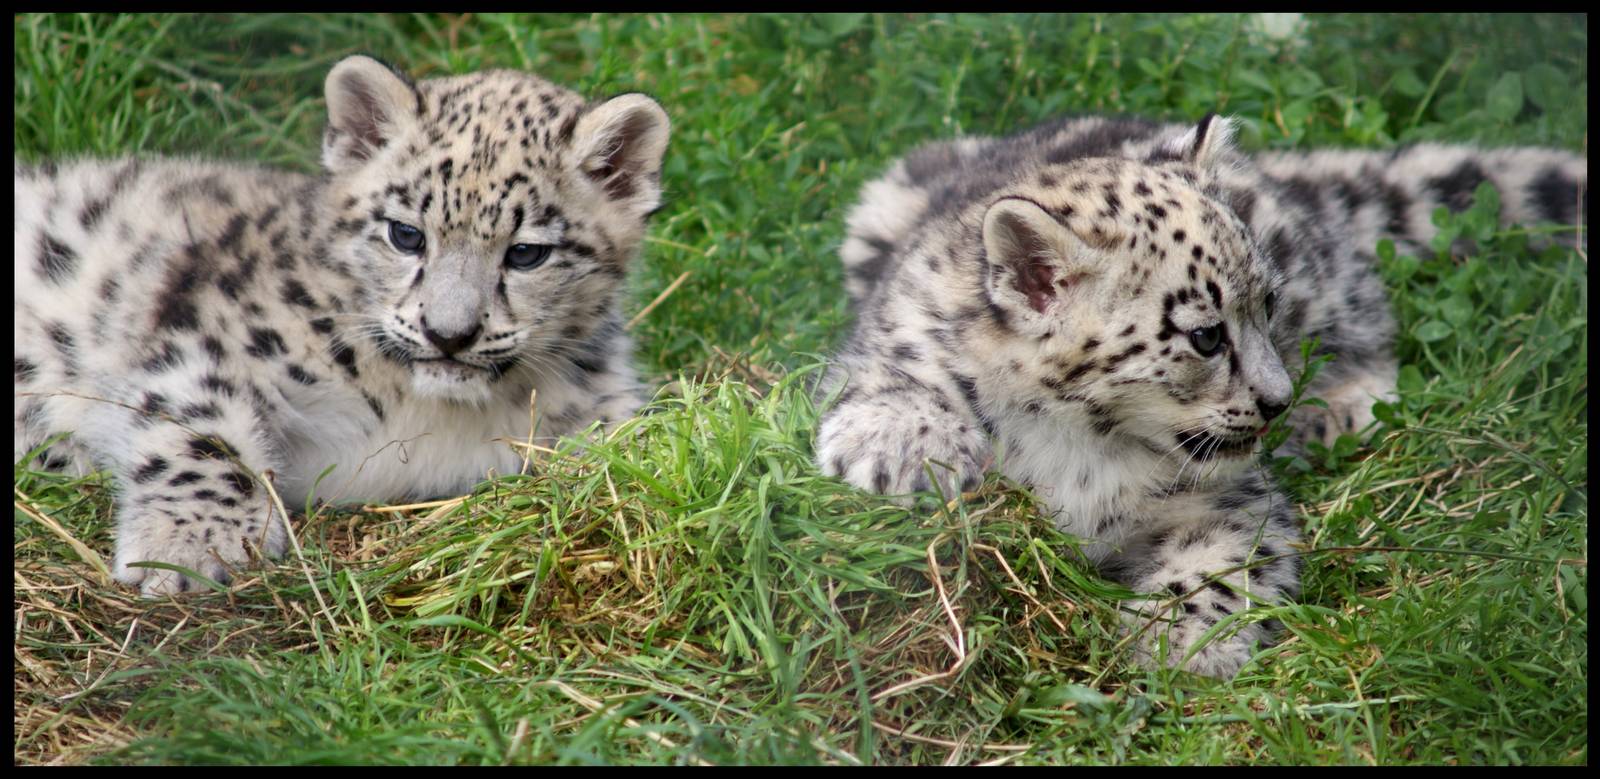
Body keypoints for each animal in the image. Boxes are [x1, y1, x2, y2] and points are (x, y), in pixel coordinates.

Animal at [14, 55, 672, 596]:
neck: (429, 411)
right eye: (406, 234)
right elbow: (202, 432)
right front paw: (188, 551)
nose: (449, 334)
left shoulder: (597, 407)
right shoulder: (207, 338)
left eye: (527, 253)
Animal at [815, 113, 1586, 677]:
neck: (1079, 443)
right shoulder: (901, 325)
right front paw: (900, 447)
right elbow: (886, 365)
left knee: (1364, 305)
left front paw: (1174, 639)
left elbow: (1220, 566)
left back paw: (1336, 406)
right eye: (1206, 336)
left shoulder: (1233, 498)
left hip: (1322, 277)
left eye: (1267, 304)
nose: (1276, 400)